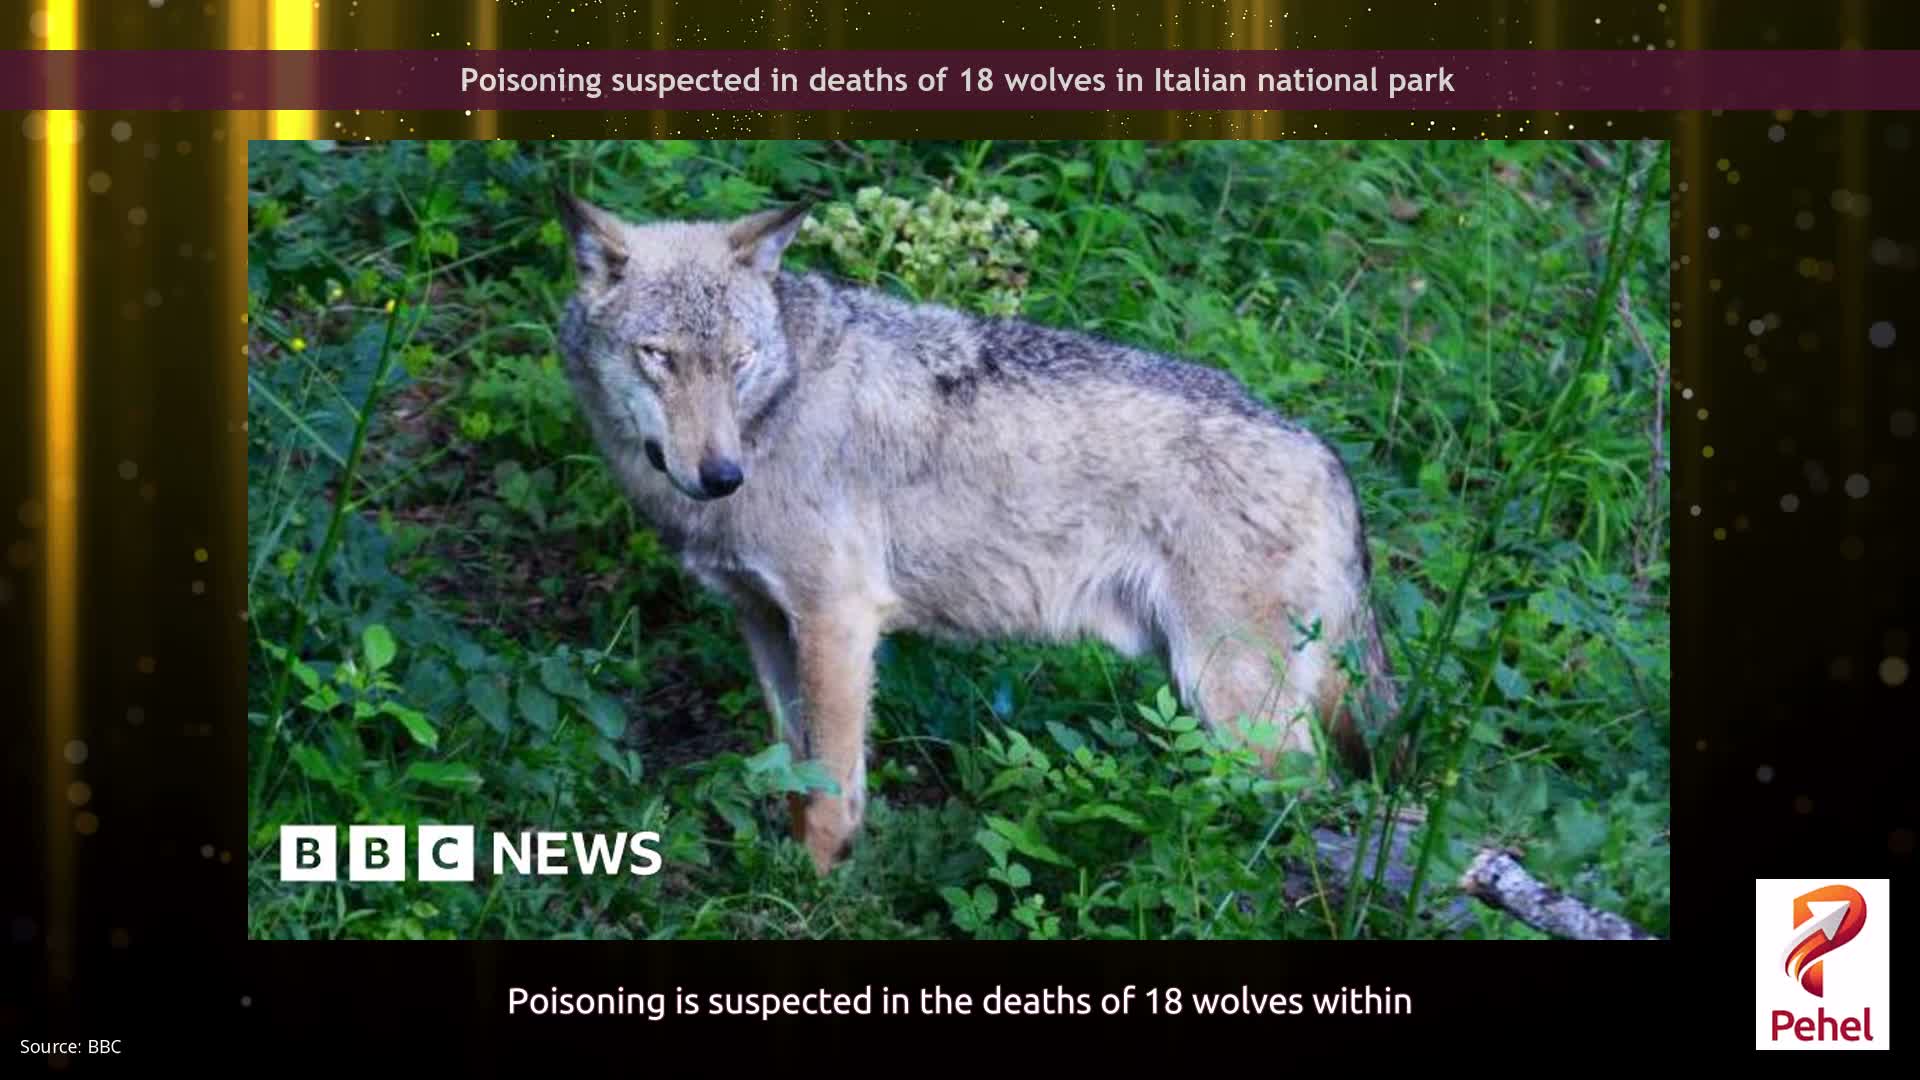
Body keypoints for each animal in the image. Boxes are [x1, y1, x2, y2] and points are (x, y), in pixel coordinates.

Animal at [553, 189, 1402, 875]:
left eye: (739, 360)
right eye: (658, 357)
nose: (720, 474)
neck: (774, 416)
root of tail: (1324, 453)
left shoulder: (837, 621)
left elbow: (831, 791)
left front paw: (818, 892)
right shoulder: (763, 620)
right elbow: (798, 776)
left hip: (1229, 699)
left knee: (1307, 796)